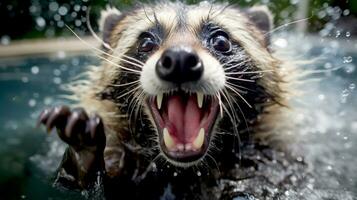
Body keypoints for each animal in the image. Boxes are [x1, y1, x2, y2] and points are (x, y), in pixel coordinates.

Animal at [38, 1, 306, 200]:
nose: (180, 60)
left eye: (221, 41)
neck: (184, 170)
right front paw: (81, 157)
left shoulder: (276, 160)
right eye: (146, 42)